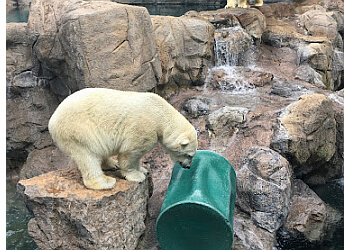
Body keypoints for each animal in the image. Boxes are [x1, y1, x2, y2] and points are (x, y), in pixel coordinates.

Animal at [47, 88, 198, 189]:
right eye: (189, 155)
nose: (188, 166)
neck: (159, 112)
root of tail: (52, 121)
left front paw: (143, 169)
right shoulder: (143, 127)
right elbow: (130, 152)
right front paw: (137, 176)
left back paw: (111, 163)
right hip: (79, 131)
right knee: (88, 156)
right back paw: (105, 182)